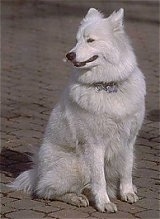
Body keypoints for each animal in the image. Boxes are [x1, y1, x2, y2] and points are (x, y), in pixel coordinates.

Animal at [9, 8, 146, 212]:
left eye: (90, 40)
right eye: (76, 41)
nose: (69, 55)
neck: (108, 85)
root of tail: (37, 172)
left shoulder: (129, 139)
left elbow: (126, 168)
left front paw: (127, 192)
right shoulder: (95, 144)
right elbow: (99, 179)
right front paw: (104, 203)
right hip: (76, 165)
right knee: (46, 191)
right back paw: (77, 198)